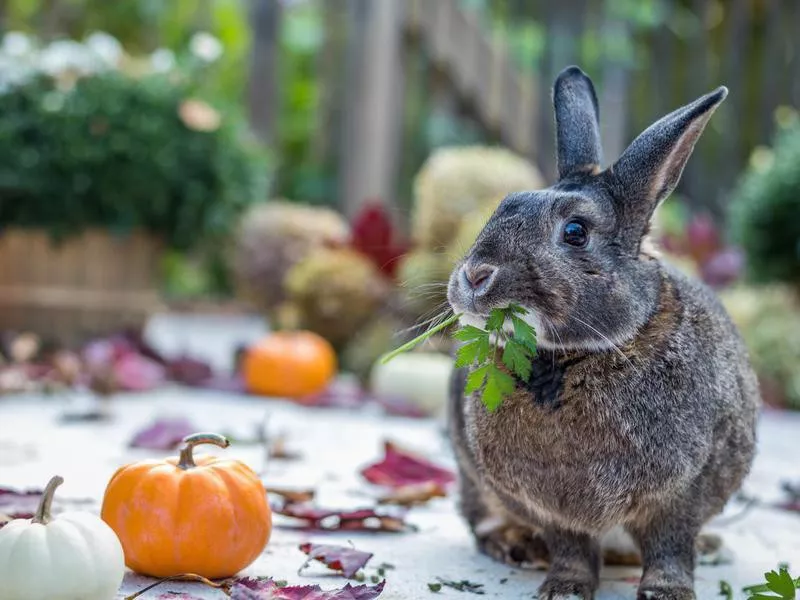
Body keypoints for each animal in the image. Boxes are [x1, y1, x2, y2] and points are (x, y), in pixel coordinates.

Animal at [446, 65, 760, 600]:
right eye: (503, 205)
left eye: (575, 232)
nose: (474, 276)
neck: (571, 357)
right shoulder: (552, 509)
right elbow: (570, 547)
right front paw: (564, 589)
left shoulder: (683, 493)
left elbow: (671, 546)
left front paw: (666, 593)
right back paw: (516, 546)